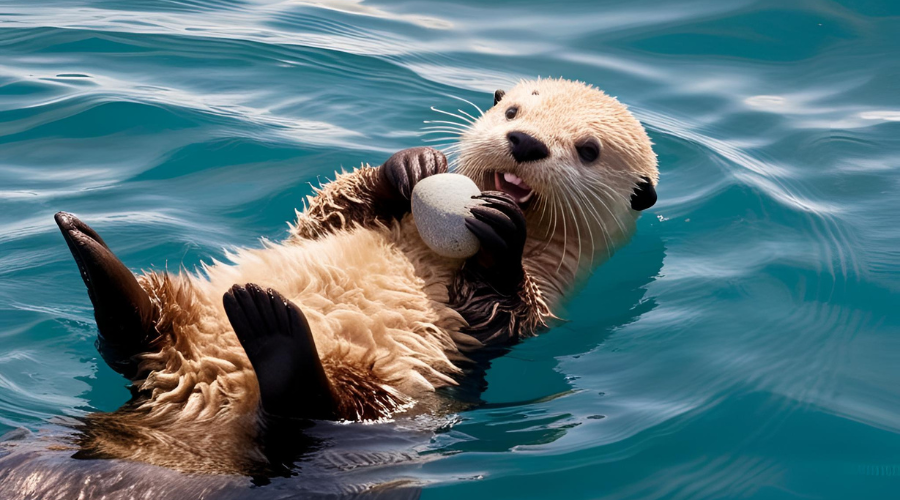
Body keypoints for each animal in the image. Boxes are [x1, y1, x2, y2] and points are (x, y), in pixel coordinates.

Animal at [53, 78, 658, 473]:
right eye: (511, 113)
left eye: (587, 150)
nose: (525, 143)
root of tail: (197, 392)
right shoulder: (341, 221)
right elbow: (328, 213)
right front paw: (407, 166)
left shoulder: (545, 295)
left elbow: (502, 313)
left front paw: (500, 238)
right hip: (172, 326)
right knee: (134, 337)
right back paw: (90, 252)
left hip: (374, 389)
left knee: (312, 410)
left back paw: (271, 329)